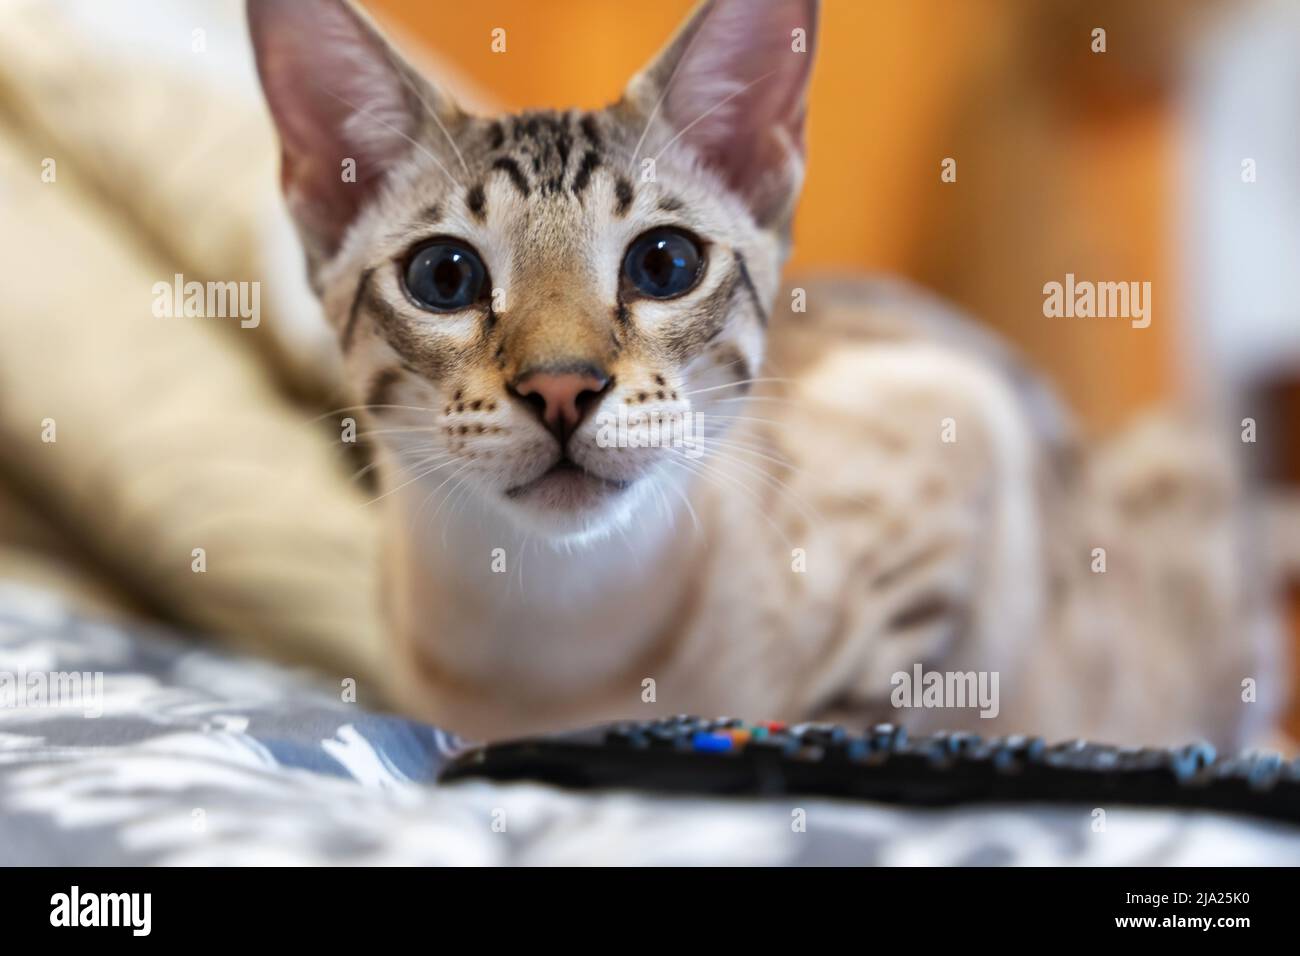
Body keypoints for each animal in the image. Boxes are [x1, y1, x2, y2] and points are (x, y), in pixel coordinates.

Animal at [248, 0, 1284, 749]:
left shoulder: (957, 429)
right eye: (446, 277)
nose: (561, 387)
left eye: (664, 264)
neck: (551, 639)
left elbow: (855, 711)